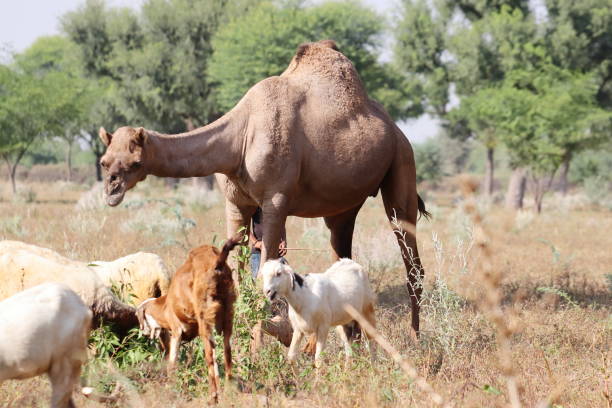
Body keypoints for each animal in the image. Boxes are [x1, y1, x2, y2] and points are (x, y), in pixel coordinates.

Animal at [98, 39, 428, 338]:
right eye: (104, 161)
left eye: (136, 163)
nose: (112, 190)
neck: (239, 138)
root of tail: (395, 129)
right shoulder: (236, 203)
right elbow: (237, 271)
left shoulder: (275, 201)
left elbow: (263, 275)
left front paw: (260, 341)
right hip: (343, 205)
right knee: (342, 252)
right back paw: (354, 340)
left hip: (402, 163)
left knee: (410, 256)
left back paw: (415, 337)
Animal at [137, 237, 240, 404]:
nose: (144, 333)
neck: (166, 304)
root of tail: (217, 262)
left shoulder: (176, 332)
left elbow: (172, 363)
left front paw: (170, 390)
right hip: (228, 316)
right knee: (227, 353)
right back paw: (229, 391)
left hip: (205, 322)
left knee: (209, 356)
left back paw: (213, 396)